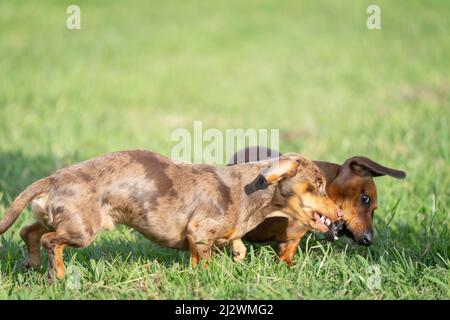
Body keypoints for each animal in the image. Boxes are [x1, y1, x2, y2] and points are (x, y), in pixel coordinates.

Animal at [0, 150, 342, 280]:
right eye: (318, 185)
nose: (339, 212)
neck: (246, 192)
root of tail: (53, 178)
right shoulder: (198, 235)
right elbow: (201, 260)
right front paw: (202, 277)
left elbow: (238, 246)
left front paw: (237, 253)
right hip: (82, 230)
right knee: (49, 240)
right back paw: (56, 273)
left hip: (52, 216)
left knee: (28, 232)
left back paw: (32, 264)